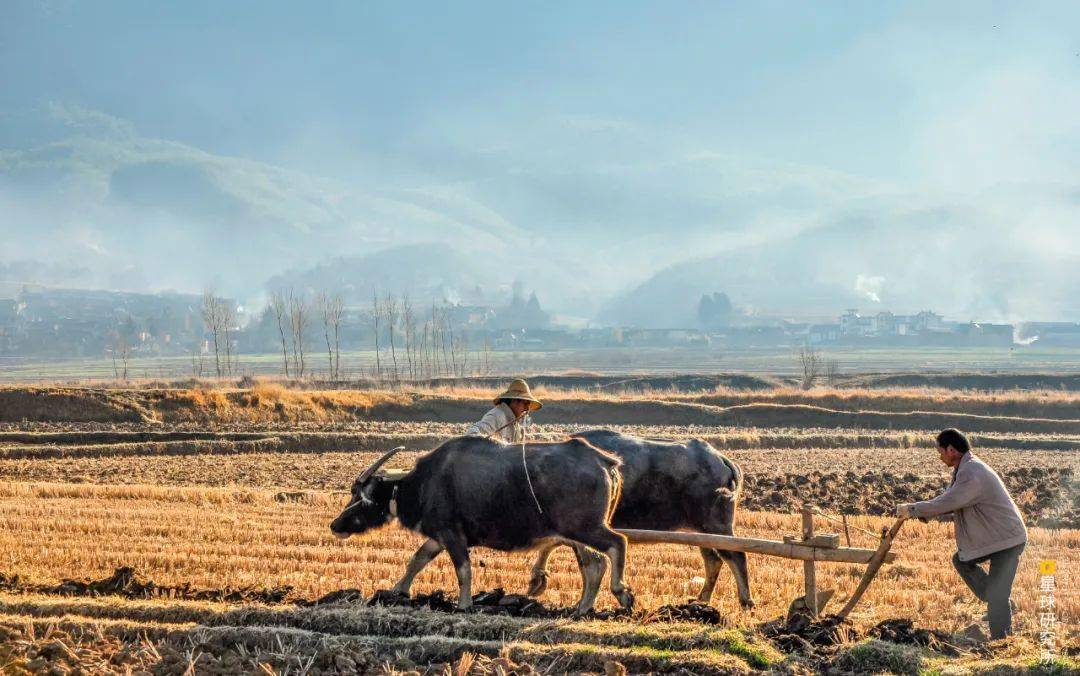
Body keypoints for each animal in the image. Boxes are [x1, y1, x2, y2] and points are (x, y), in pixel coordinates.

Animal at [328, 434, 630, 613]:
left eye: (357, 493)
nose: (334, 525)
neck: (424, 483)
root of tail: (603, 460)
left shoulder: (453, 536)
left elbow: (463, 571)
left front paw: (463, 605)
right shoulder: (438, 536)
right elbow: (417, 559)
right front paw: (396, 591)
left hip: (585, 528)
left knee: (617, 543)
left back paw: (622, 594)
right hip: (576, 534)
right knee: (594, 564)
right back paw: (582, 608)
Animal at [529, 429, 751, 609]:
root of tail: (721, 459)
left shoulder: (581, 527)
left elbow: (582, 561)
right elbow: (556, 547)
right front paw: (537, 580)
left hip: (718, 525)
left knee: (736, 556)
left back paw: (745, 601)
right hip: (702, 530)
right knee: (713, 559)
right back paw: (701, 600)